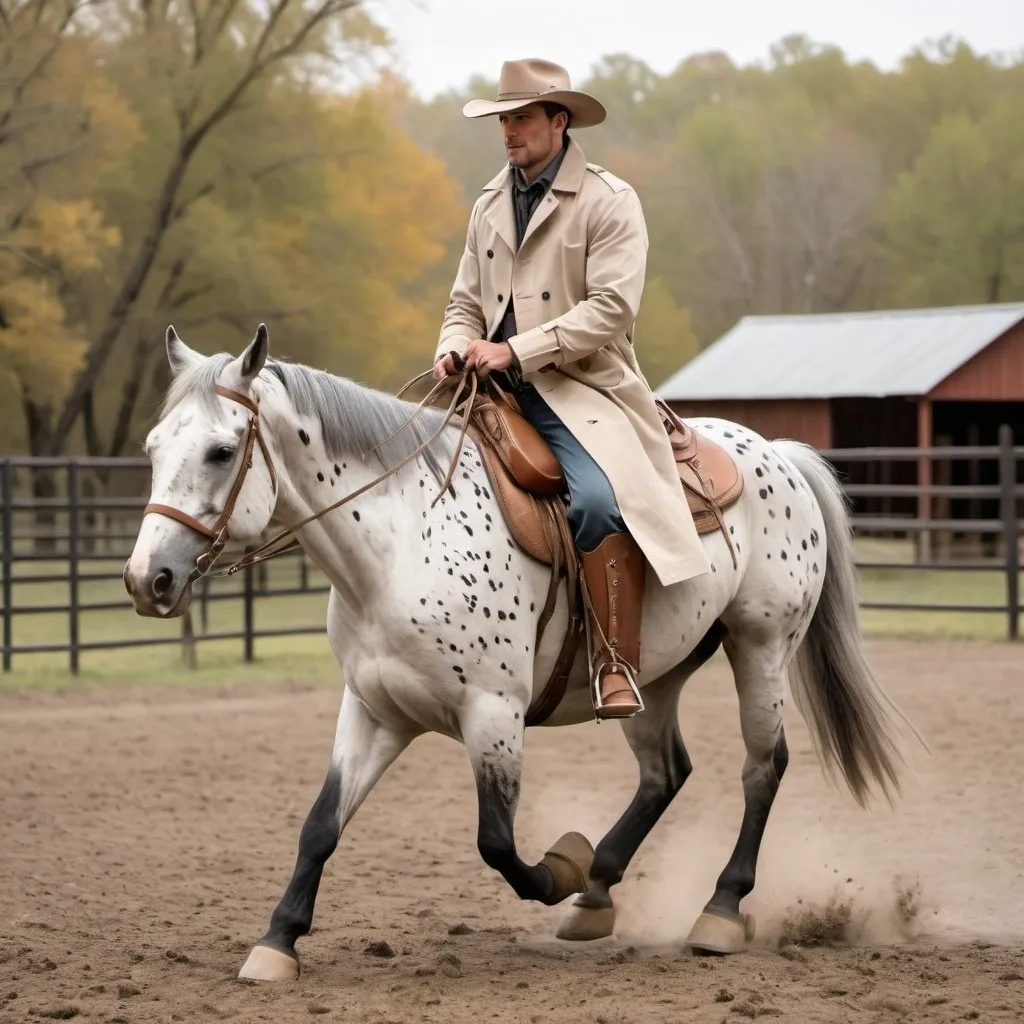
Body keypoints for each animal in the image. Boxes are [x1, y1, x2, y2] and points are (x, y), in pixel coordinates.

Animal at [123, 327, 917, 983]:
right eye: (154, 448)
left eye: (222, 451)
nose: (146, 578)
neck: (401, 542)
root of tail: (777, 454)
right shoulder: (373, 710)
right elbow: (321, 823)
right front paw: (277, 942)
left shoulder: (493, 715)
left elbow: (498, 843)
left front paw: (561, 868)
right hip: (648, 677)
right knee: (666, 772)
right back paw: (598, 894)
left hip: (762, 648)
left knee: (761, 768)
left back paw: (717, 911)